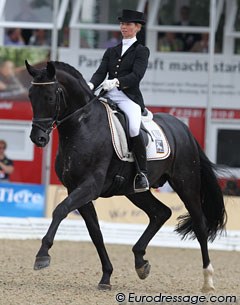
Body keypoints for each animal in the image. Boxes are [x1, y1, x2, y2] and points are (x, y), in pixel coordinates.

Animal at [25, 60, 226, 292]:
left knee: (200, 225)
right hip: (135, 190)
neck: (82, 125)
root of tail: (184, 129)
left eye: (50, 97)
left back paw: (208, 281)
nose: (38, 138)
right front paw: (106, 277)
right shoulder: (75, 188)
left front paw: (42, 255)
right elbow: (95, 232)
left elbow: (60, 210)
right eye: (30, 96)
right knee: (160, 213)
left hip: (186, 184)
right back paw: (140, 262)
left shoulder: (90, 185)